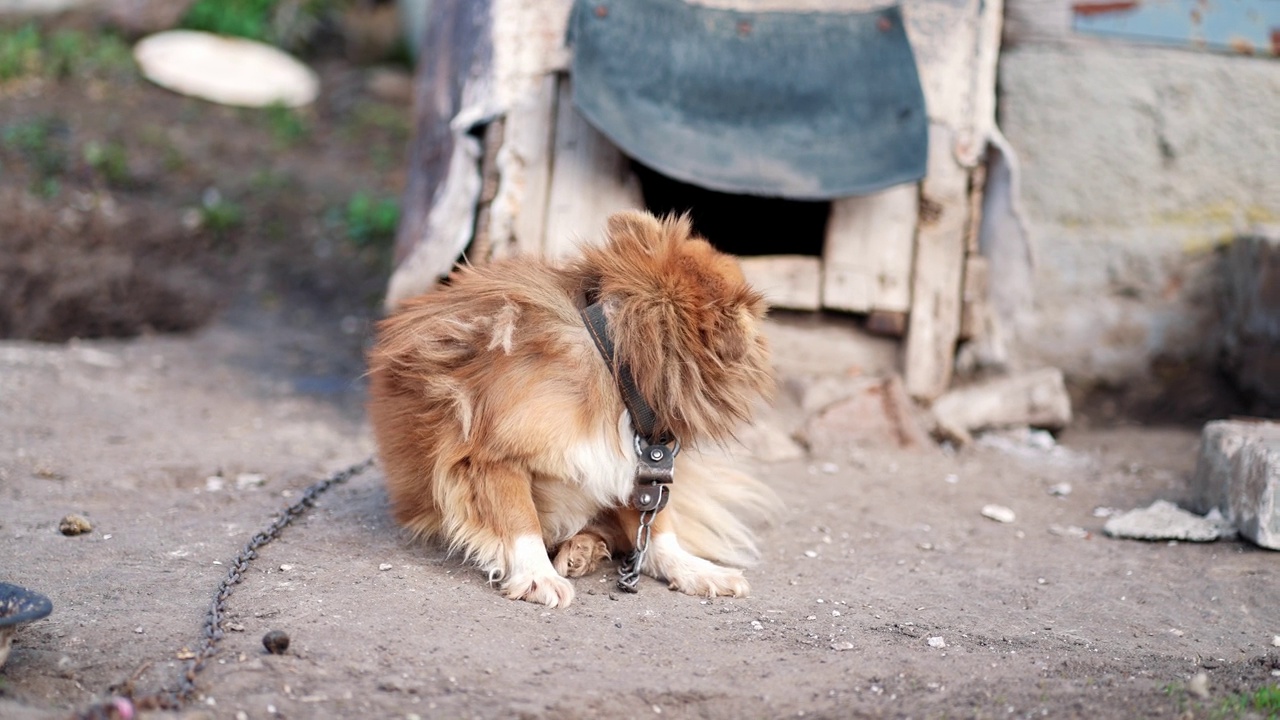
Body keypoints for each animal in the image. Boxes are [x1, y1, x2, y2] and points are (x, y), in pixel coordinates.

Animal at [366, 208, 773, 604]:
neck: (616, 363)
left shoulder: (634, 469)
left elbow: (658, 532)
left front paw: (695, 571)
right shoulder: (489, 459)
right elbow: (521, 522)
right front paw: (537, 577)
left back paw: (584, 550)